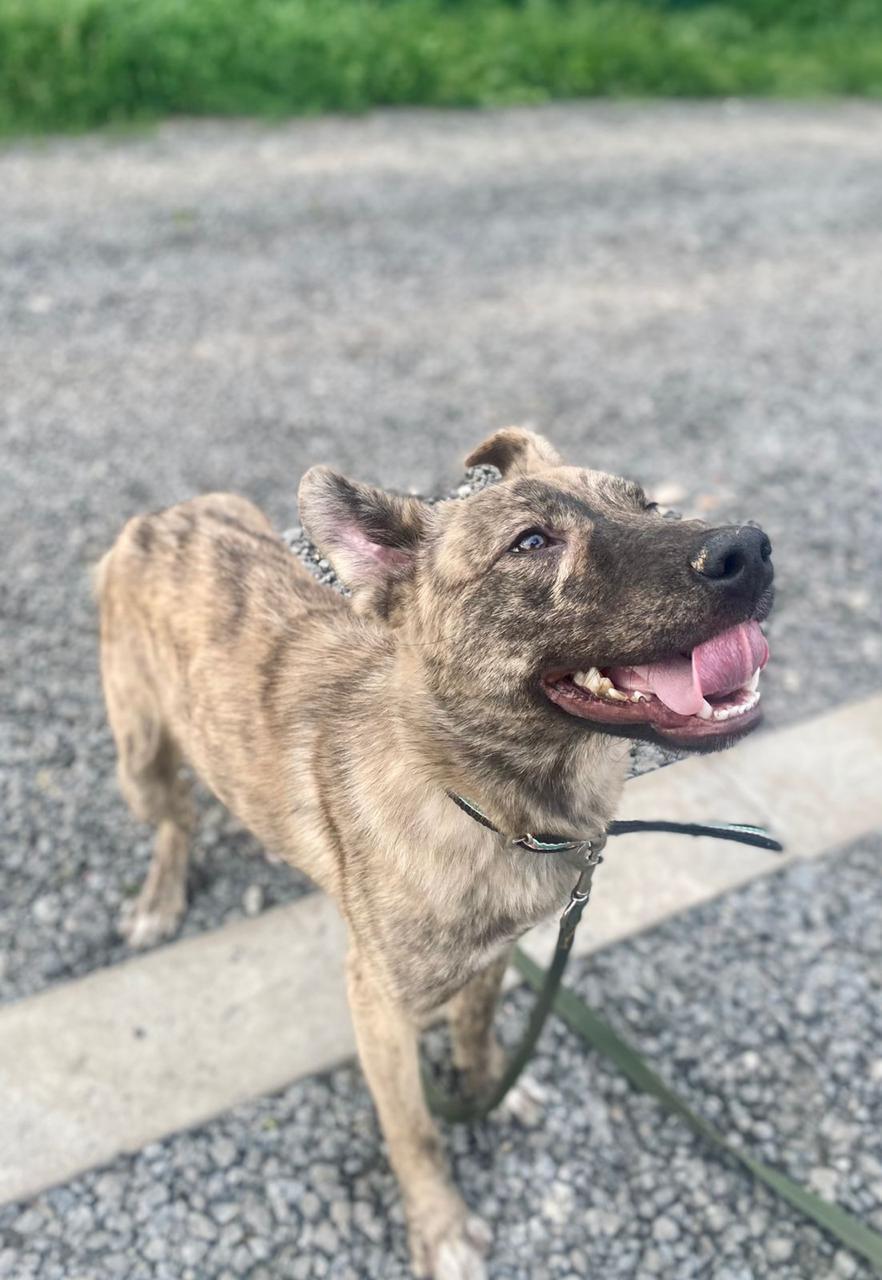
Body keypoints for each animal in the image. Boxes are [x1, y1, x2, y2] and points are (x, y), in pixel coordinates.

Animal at [94, 432, 768, 1280]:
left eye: (645, 502)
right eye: (531, 543)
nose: (751, 548)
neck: (491, 802)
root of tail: (158, 517)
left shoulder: (495, 954)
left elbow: (476, 1031)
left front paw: (491, 1087)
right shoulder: (377, 1004)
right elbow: (413, 1129)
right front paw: (440, 1224)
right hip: (140, 756)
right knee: (174, 820)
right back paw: (160, 896)